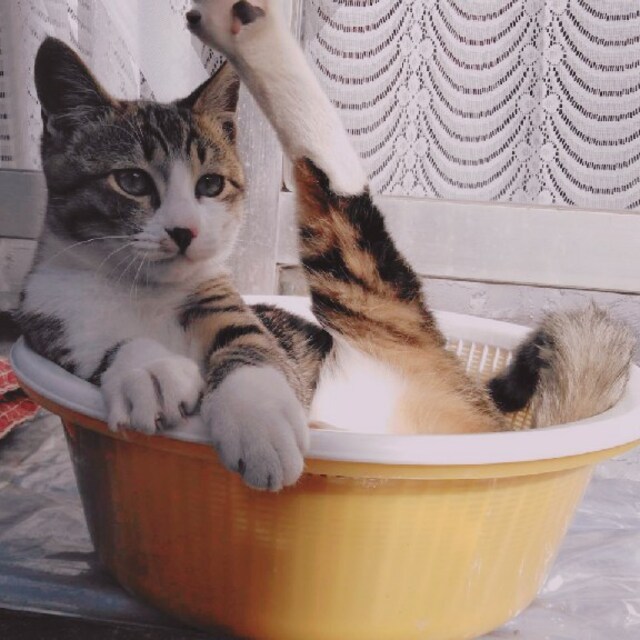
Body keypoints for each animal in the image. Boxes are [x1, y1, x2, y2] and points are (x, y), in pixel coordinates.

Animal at [17, 12, 633, 491]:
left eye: (210, 185)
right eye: (132, 182)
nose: (185, 231)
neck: (138, 289)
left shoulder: (237, 312)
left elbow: (251, 350)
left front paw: (257, 424)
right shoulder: (45, 325)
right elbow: (100, 351)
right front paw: (147, 370)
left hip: (358, 278)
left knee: (336, 175)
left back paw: (244, 27)